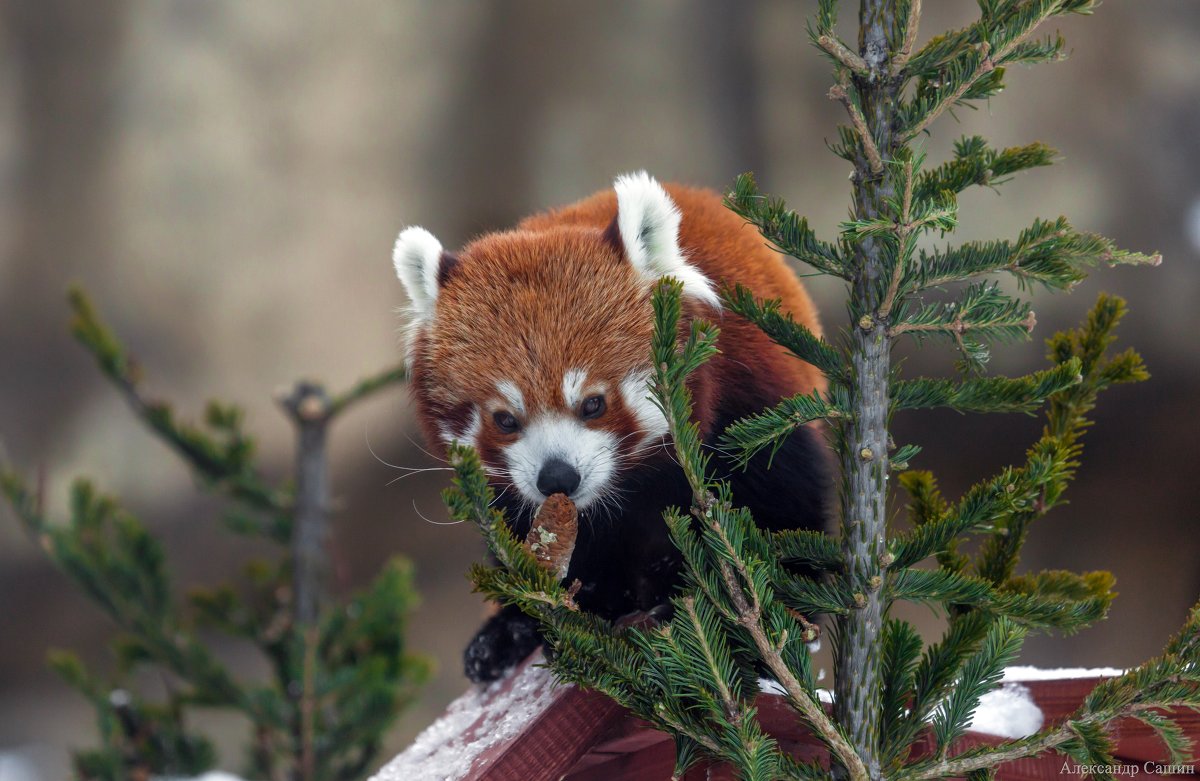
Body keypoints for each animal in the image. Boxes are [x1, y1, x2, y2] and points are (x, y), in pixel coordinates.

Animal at [391, 172, 825, 686]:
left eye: (593, 403)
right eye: (505, 419)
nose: (557, 478)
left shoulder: (751, 419)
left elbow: (778, 520)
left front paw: (738, 625)